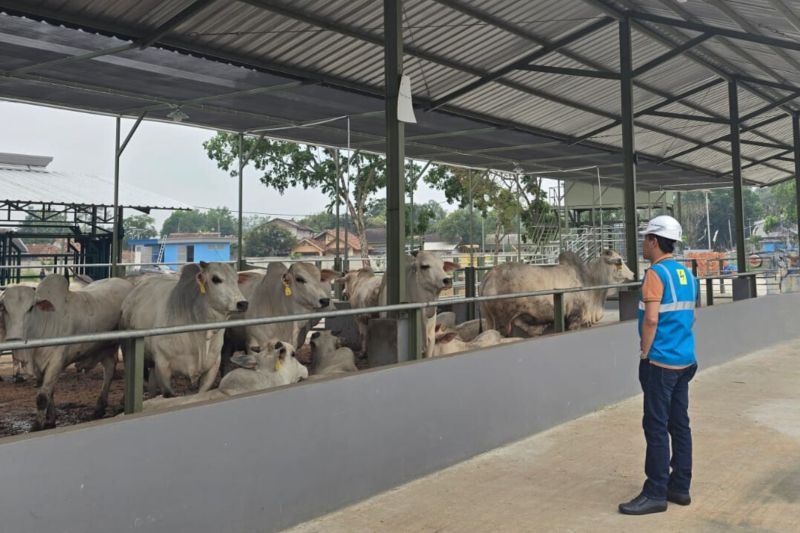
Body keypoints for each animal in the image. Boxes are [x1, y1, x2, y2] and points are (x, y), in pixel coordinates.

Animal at [0, 274, 133, 428]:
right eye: (4, 308)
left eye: (31, 308)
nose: (14, 338)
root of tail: (126, 282)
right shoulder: (40, 367)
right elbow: (49, 393)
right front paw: (51, 419)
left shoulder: (56, 362)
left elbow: (42, 397)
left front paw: (37, 426)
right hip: (104, 347)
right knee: (109, 369)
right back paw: (99, 408)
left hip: (125, 343)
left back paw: (122, 402)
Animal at [119, 260, 247, 396]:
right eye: (215, 279)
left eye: (236, 279)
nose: (243, 303)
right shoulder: (162, 365)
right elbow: (169, 394)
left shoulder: (213, 365)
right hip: (127, 351)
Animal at [478, 250, 636, 336]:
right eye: (619, 262)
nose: (634, 274)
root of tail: (489, 274)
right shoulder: (575, 317)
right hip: (501, 321)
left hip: (494, 318)